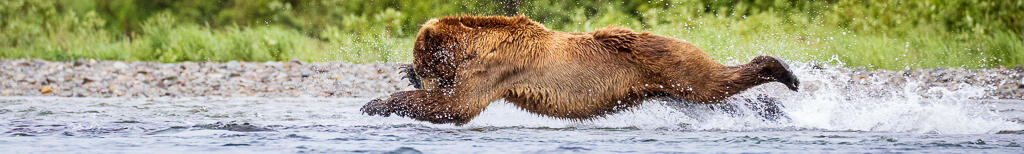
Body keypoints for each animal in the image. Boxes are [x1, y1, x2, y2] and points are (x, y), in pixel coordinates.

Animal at [360, 15, 798, 125]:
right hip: (665, 88)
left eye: (425, 62)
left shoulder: (499, 67)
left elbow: (457, 104)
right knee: (716, 99)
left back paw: (784, 72)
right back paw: (773, 109)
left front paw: (374, 103)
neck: (478, 46)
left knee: (712, 82)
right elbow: (452, 101)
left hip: (671, 63)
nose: (416, 70)